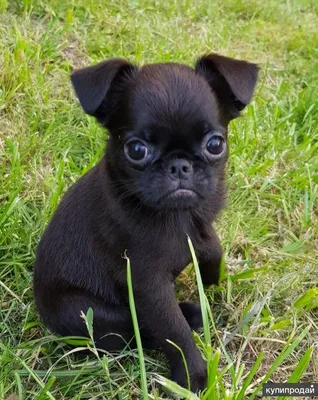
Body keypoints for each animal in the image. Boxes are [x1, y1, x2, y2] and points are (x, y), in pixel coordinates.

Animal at [33, 52, 258, 390]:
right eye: (137, 150)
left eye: (215, 145)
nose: (179, 166)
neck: (177, 215)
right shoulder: (148, 285)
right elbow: (173, 331)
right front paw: (193, 377)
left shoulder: (200, 225)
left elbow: (212, 247)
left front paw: (212, 275)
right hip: (84, 310)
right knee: (131, 330)